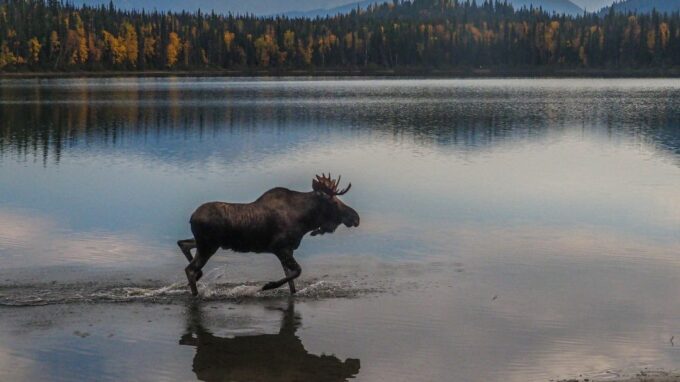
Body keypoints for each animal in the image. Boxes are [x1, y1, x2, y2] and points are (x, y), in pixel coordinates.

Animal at [177, 173, 362, 296]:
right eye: (334, 202)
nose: (356, 217)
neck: (305, 221)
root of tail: (191, 217)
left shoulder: (286, 250)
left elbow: (292, 282)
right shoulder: (280, 248)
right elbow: (297, 272)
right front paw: (268, 286)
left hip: (206, 243)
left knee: (183, 244)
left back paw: (199, 277)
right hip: (208, 245)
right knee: (190, 269)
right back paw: (195, 292)